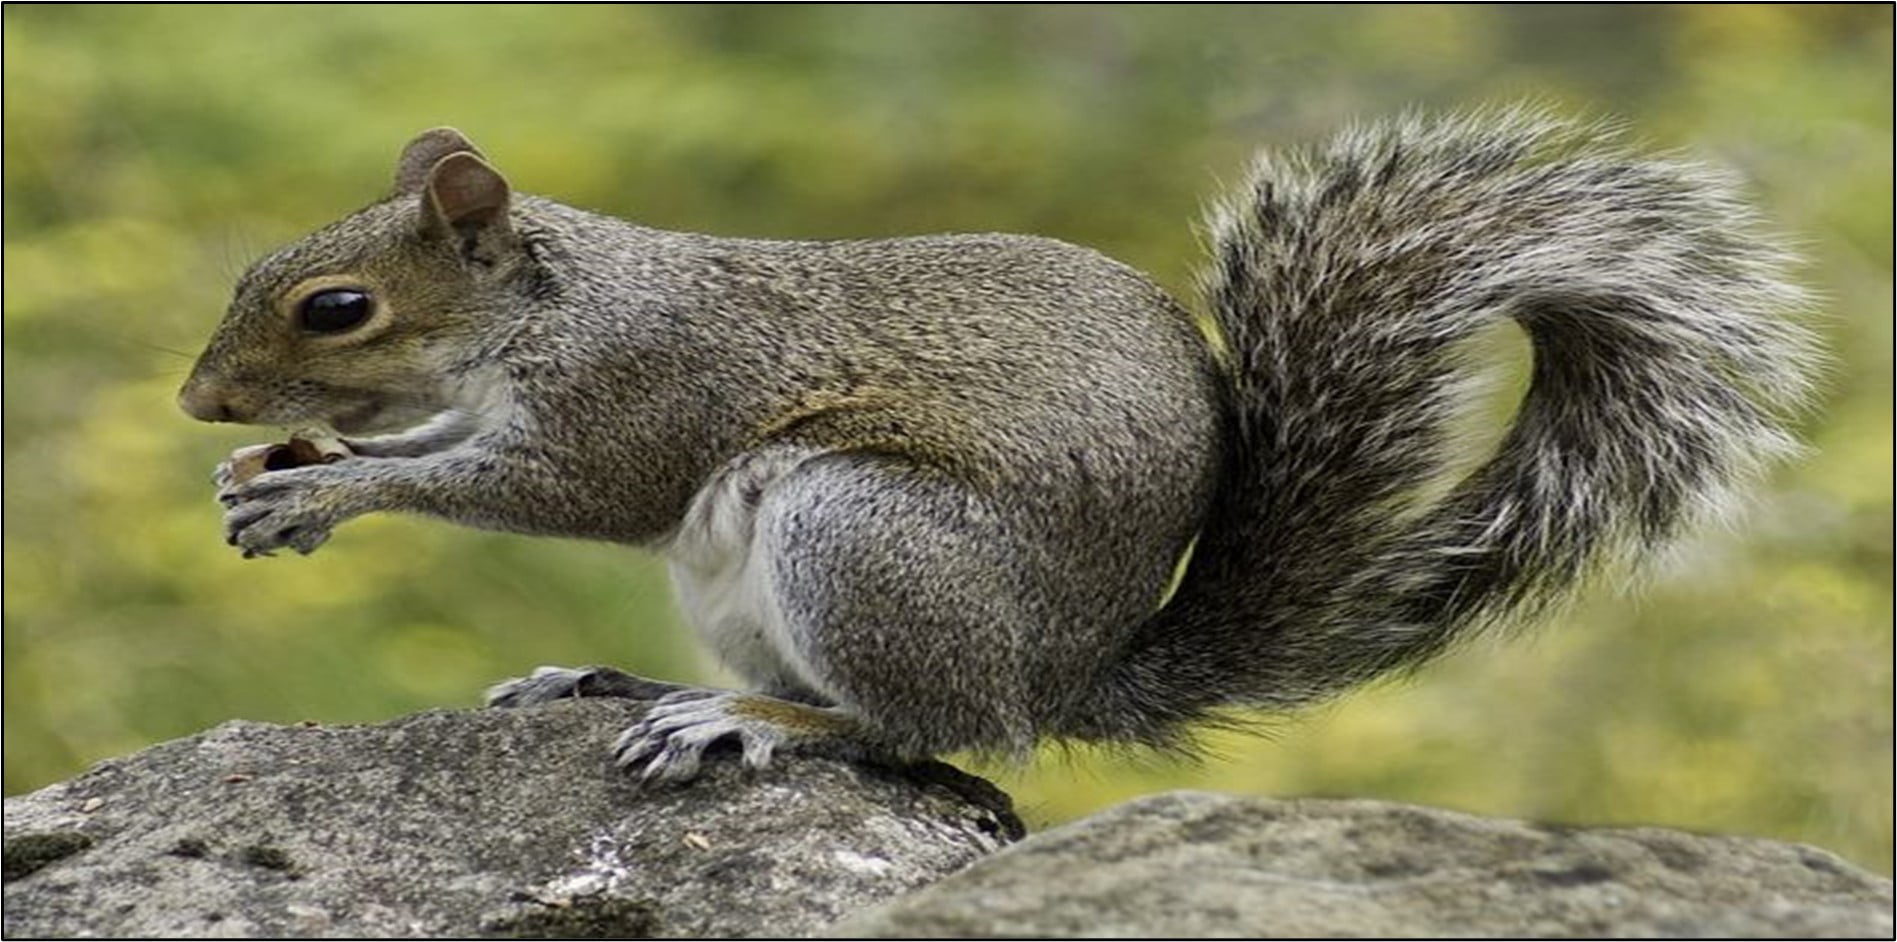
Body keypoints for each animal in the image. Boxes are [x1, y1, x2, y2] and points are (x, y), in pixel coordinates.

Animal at [181, 109, 1821, 780]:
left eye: (337, 307)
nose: (201, 404)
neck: (554, 302)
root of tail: (1062, 673)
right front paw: (272, 472)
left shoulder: (643, 393)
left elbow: (553, 485)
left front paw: (331, 490)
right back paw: (625, 683)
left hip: (862, 534)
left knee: (925, 729)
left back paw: (747, 725)